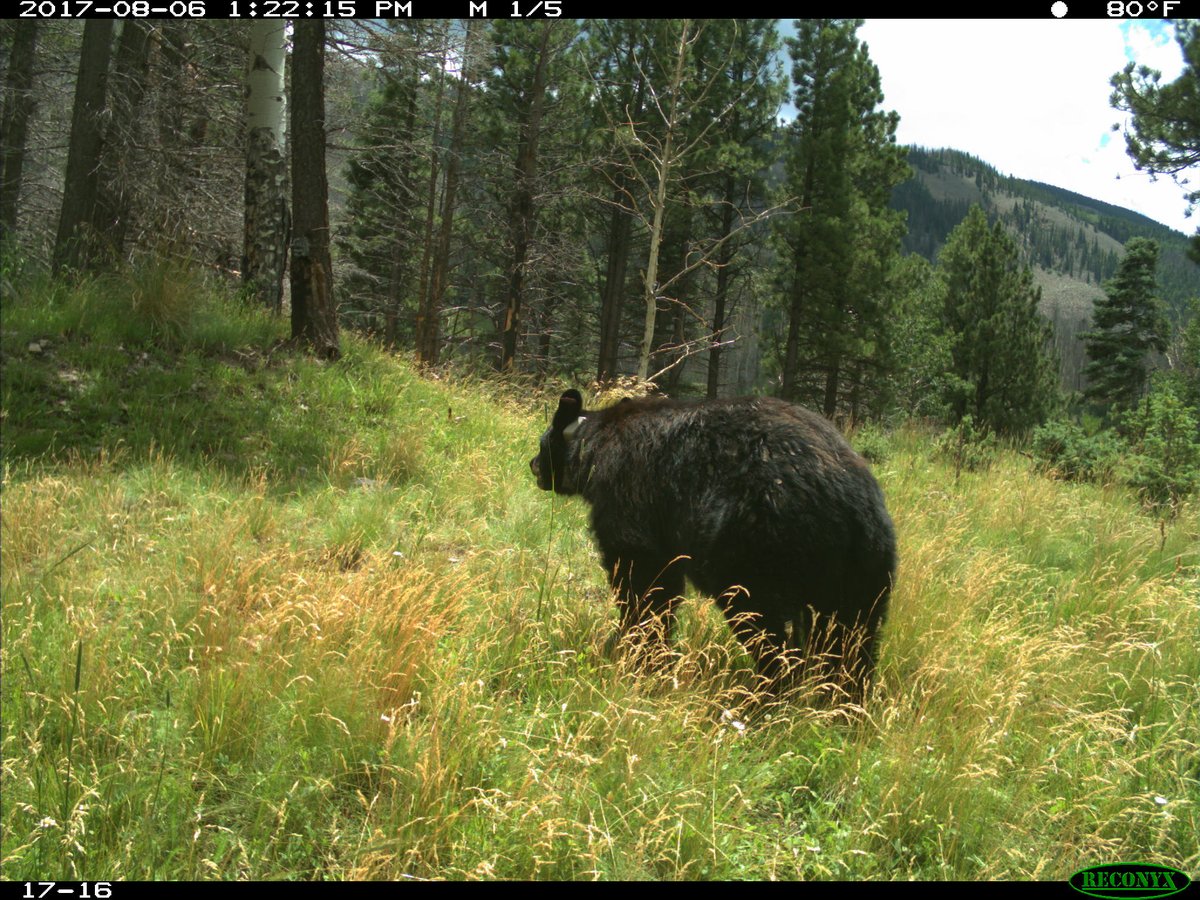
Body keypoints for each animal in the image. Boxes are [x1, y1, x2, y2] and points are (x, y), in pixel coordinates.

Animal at [530, 389, 897, 702]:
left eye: (542, 441)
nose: (533, 465)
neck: (593, 448)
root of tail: (848, 498)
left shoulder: (632, 502)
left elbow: (645, 583)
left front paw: (639, 648)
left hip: (756, 544)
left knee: (764, 624)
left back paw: (766, 692)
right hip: (863, 565)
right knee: (854, 635)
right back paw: (843, 701)